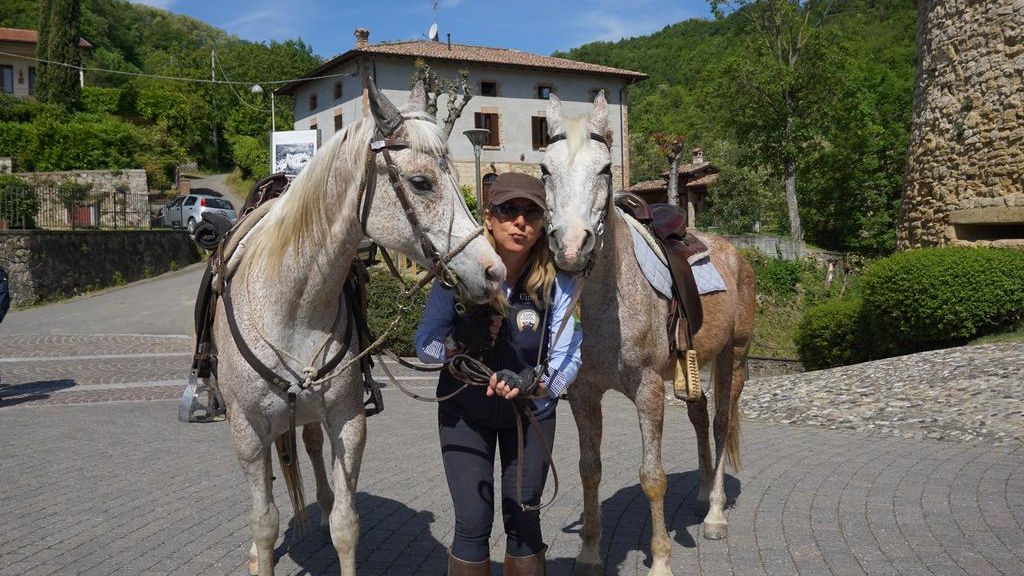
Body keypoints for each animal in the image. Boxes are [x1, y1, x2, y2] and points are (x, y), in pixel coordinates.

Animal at [210, 79, 504, 576]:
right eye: (421, 182)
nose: (494, 271)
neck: (292, 309)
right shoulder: (247, 431)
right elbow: (264, 523)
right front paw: (258, 548)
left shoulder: (346, 421)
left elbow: (345, 525)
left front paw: (335, 515)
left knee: (311, 449)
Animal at [541, 92, 757, 576]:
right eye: (545, 169)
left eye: (605, 169)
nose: (571, 246)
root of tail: (735, 254)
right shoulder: (583, 393)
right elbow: (589, 469)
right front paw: (589, 554)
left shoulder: (648, 390)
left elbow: (652, 477)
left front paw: (660, 560)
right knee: (699, 417)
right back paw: (701, 494)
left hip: (733, 356)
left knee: (720, 423)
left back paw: (715, 514)